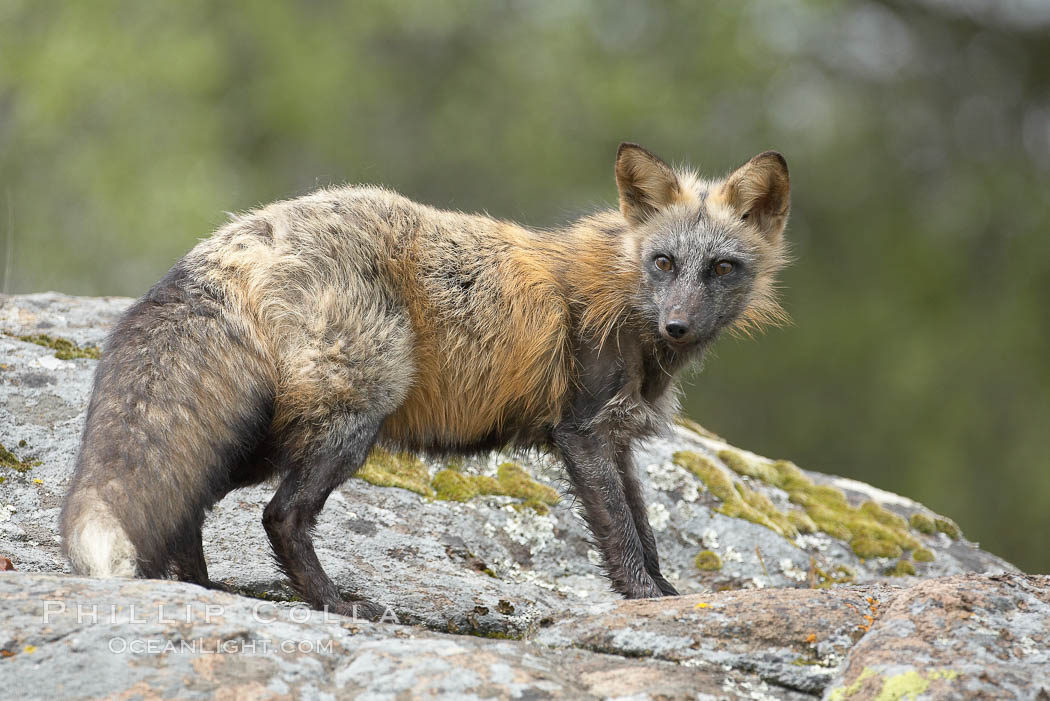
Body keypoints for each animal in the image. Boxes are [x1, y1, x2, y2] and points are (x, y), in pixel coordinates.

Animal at [59, 143, 789, 617]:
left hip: (268, 431)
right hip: (351, 422)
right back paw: (335, 603)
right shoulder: (582, 432)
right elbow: (622, 533)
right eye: (663, 262)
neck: (620, 292)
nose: (678, 325)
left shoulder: (618, 439)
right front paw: (641, 598)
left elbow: (644, 526)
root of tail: (242, 233)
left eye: (721, 268)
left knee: (191, 497)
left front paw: (668, 597)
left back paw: (202, 590)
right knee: (279, 516)